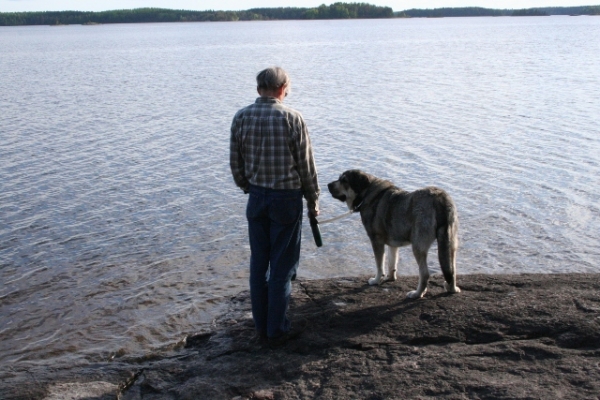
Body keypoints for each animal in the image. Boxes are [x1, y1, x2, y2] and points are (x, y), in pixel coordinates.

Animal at [328, 170, 460, 298]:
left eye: (344, 180)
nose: (328, 185)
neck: (367, 193)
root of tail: (440, 198)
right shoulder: (393, 243)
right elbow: (392, 262)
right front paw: (390, 278)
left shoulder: (376, 240)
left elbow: (380, 265)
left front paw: (376, 280)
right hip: (450, 244)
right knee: (452, 270)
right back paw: (452, 289)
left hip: (418, 246)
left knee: (425, 274)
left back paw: (417, 294)